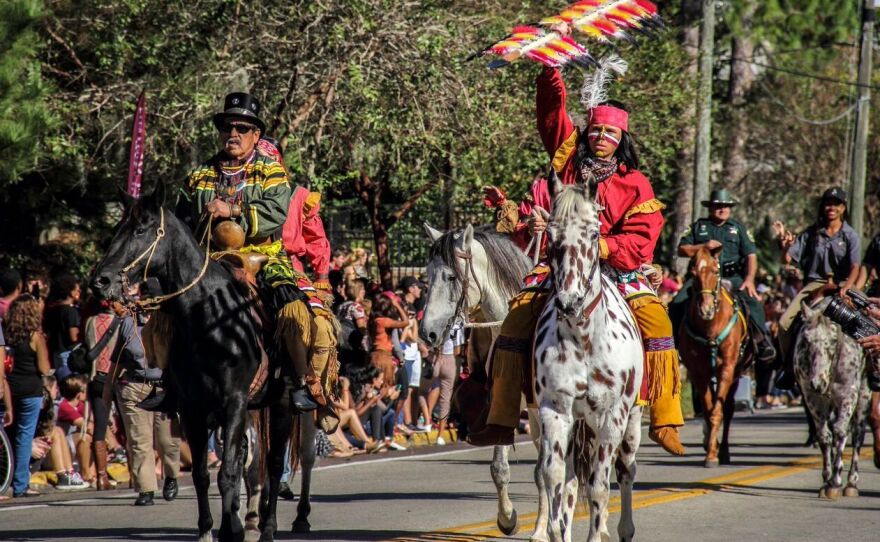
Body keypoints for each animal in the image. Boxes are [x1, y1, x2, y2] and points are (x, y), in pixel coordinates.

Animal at [92, 186, 312, 540]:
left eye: (140, 230)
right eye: (117, 229)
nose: (100, 280)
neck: (209, 317)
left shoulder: (234, 401)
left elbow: (228, 473)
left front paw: (230, 530)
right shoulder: (192, 407)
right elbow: (201, 474)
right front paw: (209, 529)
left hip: (281, 402)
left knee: (275, 462)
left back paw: (269, 526)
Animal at [532, 181, 644, 542]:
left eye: (595, 233)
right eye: (550, 233)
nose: (569, 302)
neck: (583, 339)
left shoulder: (612, 416)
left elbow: (598, 488)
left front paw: (599, 532)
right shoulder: (555, 410)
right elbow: (554, 477)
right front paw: (554, 530)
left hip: (629, 422)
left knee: (625, 471)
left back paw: (623, 528)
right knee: (569, 480)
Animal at [680, 246, 748, 468]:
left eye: (715, 271)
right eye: (692, 274)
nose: (706, 309)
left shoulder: (727, 369)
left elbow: (718, 411)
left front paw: (713, 454)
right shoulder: (698, 373)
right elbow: (709, 411)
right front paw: (710, 450)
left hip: (735, 375)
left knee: (728, 409)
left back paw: (724, 451)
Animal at [796, 298, 868, 502]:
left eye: (834, 340)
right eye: (806, 340)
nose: (817, 382)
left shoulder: (848, 394)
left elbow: (840, 431)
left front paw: (836, 480)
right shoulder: (812, 398)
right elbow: (824, 436)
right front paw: (826, 480)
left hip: (864, 395)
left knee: (858, 433)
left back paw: (851, 482)